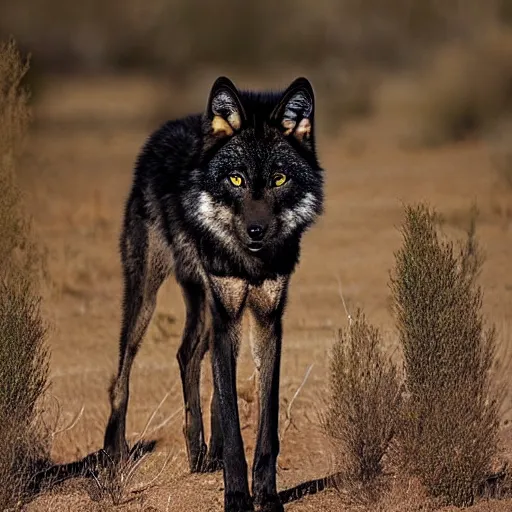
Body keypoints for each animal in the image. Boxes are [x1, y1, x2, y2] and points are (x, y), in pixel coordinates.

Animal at [103, 76, 324, 512]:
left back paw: (200, 450)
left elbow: (263, 424)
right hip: (148, 295)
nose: (257, 231)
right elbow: (234, 421)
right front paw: (237, 496)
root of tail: (170, 127)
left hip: (207, 308)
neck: (250, 262)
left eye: (279, 179)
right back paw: (117, 456)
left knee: (187, 355)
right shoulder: (227, 317)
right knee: (122, 374)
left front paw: (267, 496)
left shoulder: (266, 321)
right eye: (236, 179)